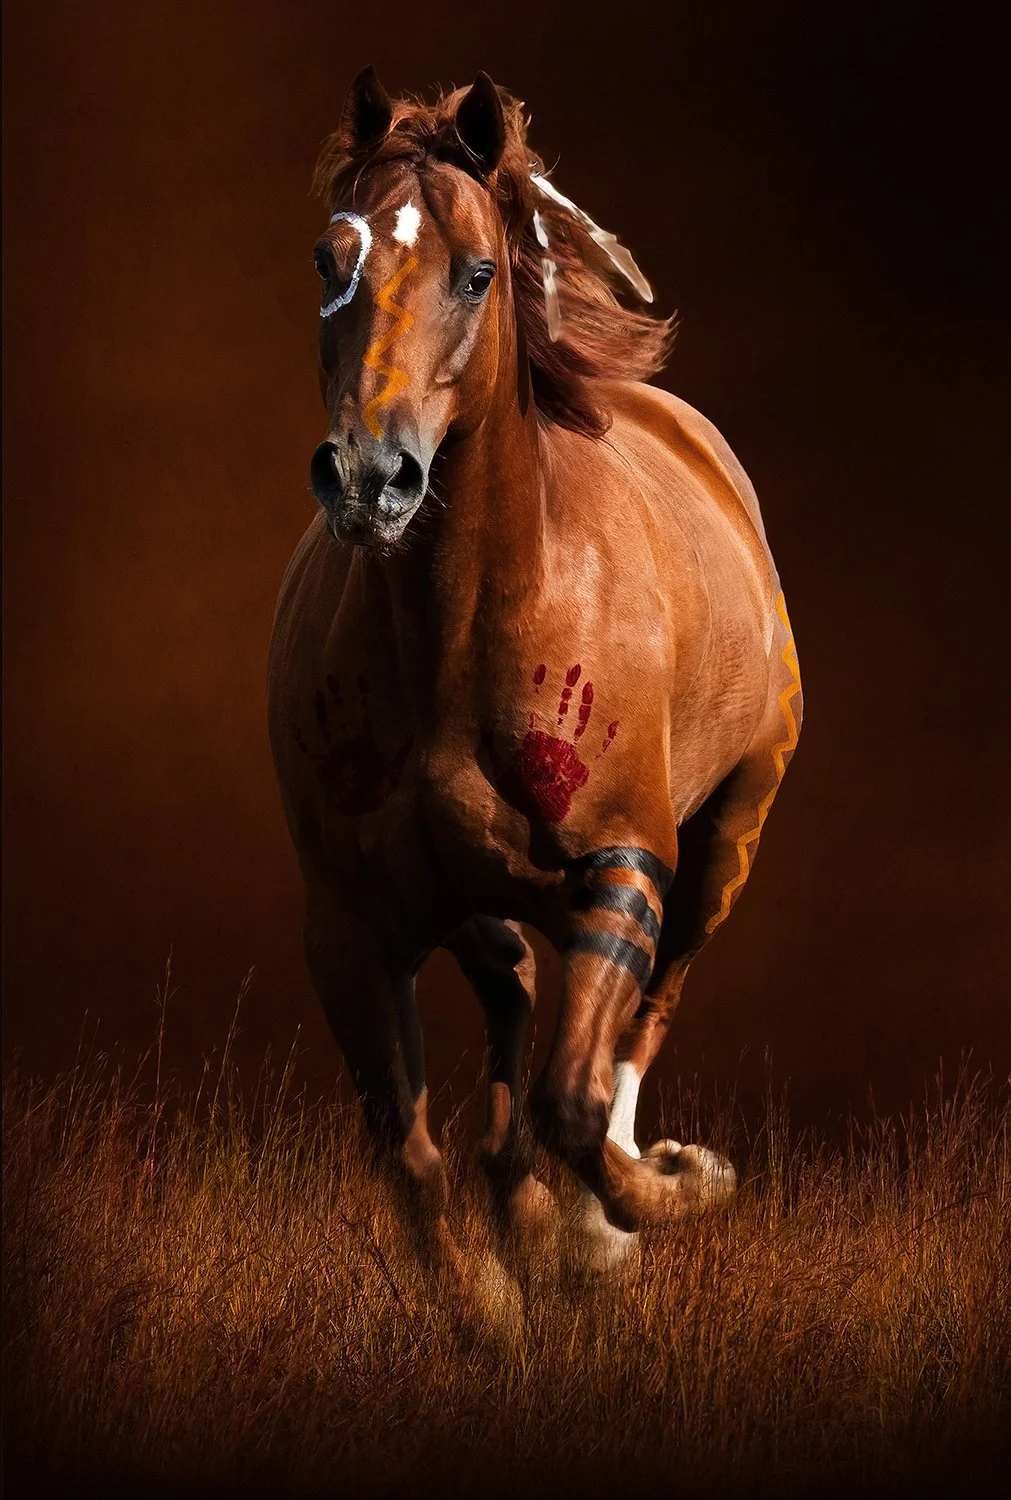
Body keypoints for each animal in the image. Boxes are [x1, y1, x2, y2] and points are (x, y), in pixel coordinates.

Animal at [267, 68, 803, 1309]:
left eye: (476, 273)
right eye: (328, 257)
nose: (368, 478)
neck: (460, 641)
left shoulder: (624, 869)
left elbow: (574, 1095)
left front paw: (658, 1198)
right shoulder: (348, 926)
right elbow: (411, 1156)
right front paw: (496, 1309)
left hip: (726, 841)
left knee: (642, 1019)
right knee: (512, 995)